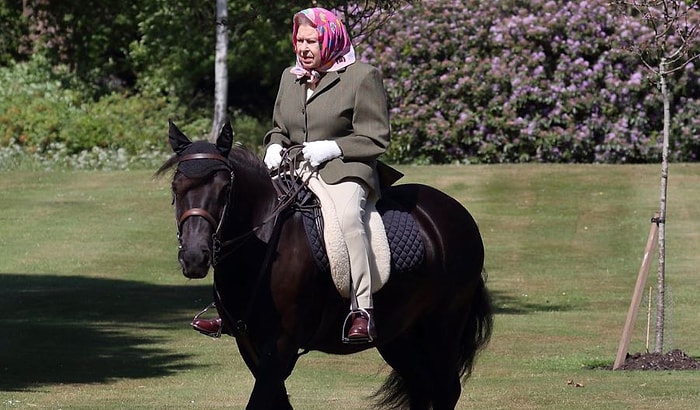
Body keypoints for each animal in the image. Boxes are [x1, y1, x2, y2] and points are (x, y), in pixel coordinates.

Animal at [157, 120, 492, 408]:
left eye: (225, 190)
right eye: (176, 188)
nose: (195, 257)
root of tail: (455, 212)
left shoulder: (281, 345)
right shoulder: (250, 345)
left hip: (442, 326)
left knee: (445, 388)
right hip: (399, 334)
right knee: (422, 386)